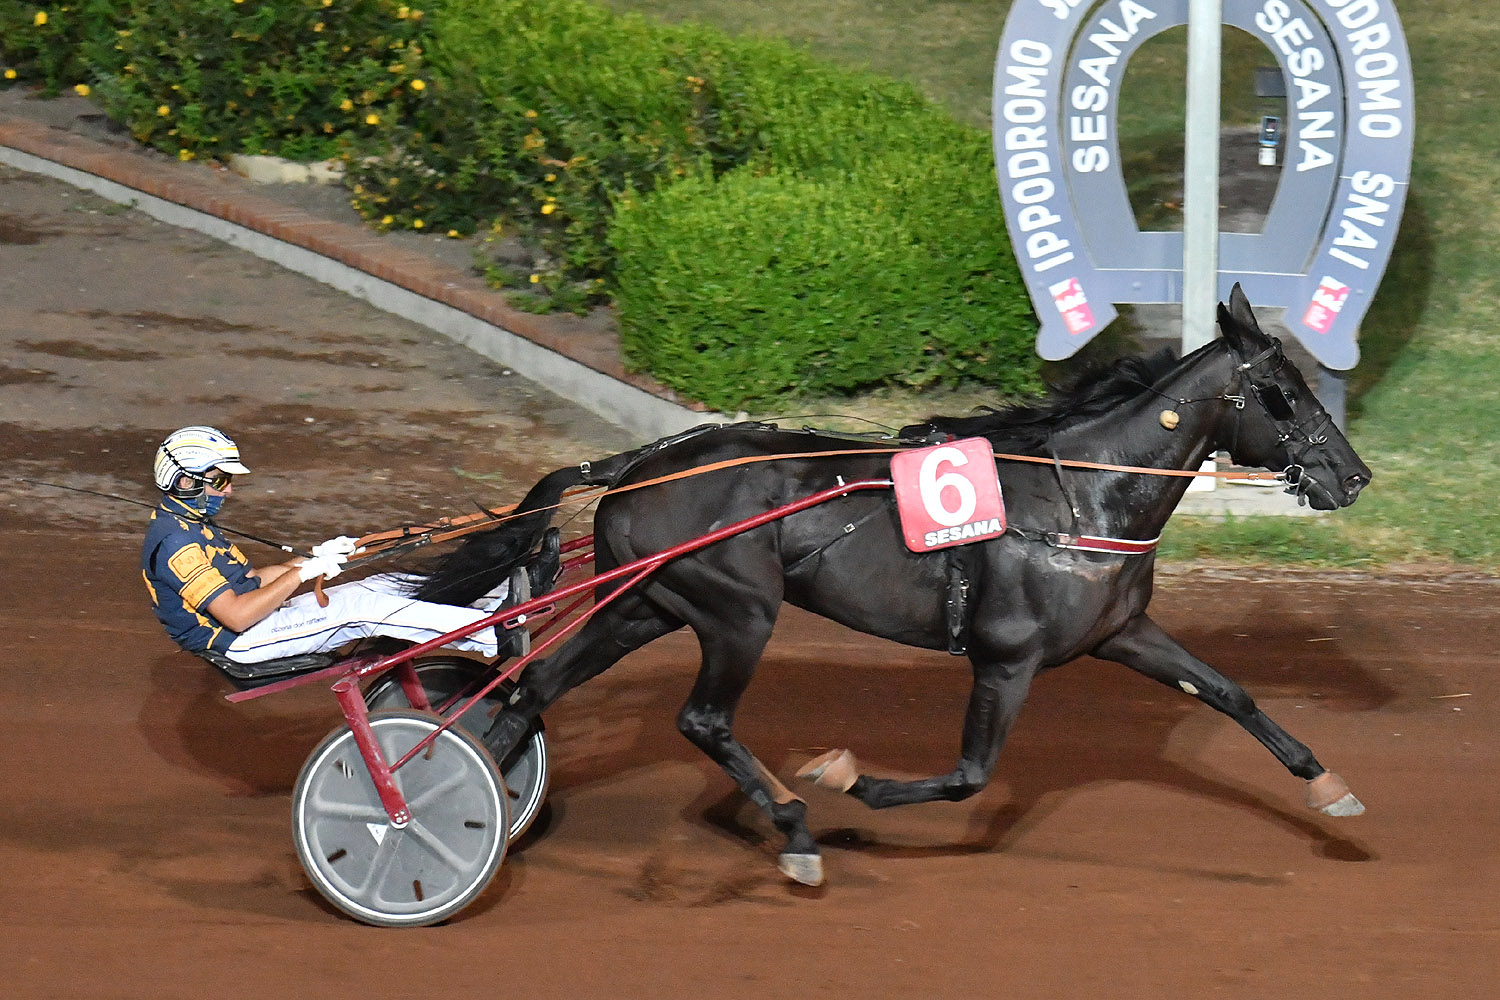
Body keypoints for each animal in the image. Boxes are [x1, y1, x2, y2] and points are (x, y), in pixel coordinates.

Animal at [414, 284, 1372, 886]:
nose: (1354, 477)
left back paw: (471, 798)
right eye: (1283, 394)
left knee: (534, 686)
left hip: (646, 603)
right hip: (736, 610)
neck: (1081, 493)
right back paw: (795, 827)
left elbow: (1230, 692)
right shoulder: (1006, 658)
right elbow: (968, 776)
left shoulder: (1120, 632)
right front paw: (851, 782)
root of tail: (636, 465)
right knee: (701, 719)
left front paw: (1329, 784)